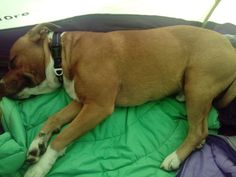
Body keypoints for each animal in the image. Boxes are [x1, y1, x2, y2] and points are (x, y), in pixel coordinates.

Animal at [0, 23, 236, 177]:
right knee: (203, 126)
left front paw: (40, 167)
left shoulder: (97, 107)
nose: (0, 84)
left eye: (12, 62)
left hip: (198, 85)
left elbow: (64, 135)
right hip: (197, 91)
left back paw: (175, 158)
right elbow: (54, 119)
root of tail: (228, 44)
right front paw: (37, 143)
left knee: (197, 130)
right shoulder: (82, 103)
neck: (63, 54)